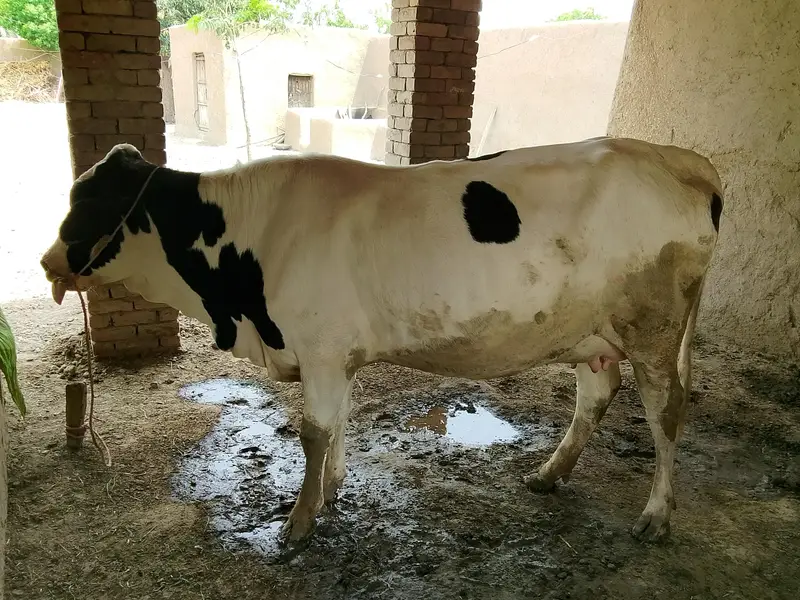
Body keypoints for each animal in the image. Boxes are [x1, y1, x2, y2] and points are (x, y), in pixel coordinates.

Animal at [40, 137, 724, 544]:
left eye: (89, 201)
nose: (48, 262)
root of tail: (677, 157)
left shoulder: (318, 347)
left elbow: (313, 432)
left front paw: (298, 520)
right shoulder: (334, 353)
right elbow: (337, 423)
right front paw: (332, 490)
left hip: (655, 330)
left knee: (666, 412)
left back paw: (656, 515)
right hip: (591, 332)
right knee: (595, 397)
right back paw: (549, 474)